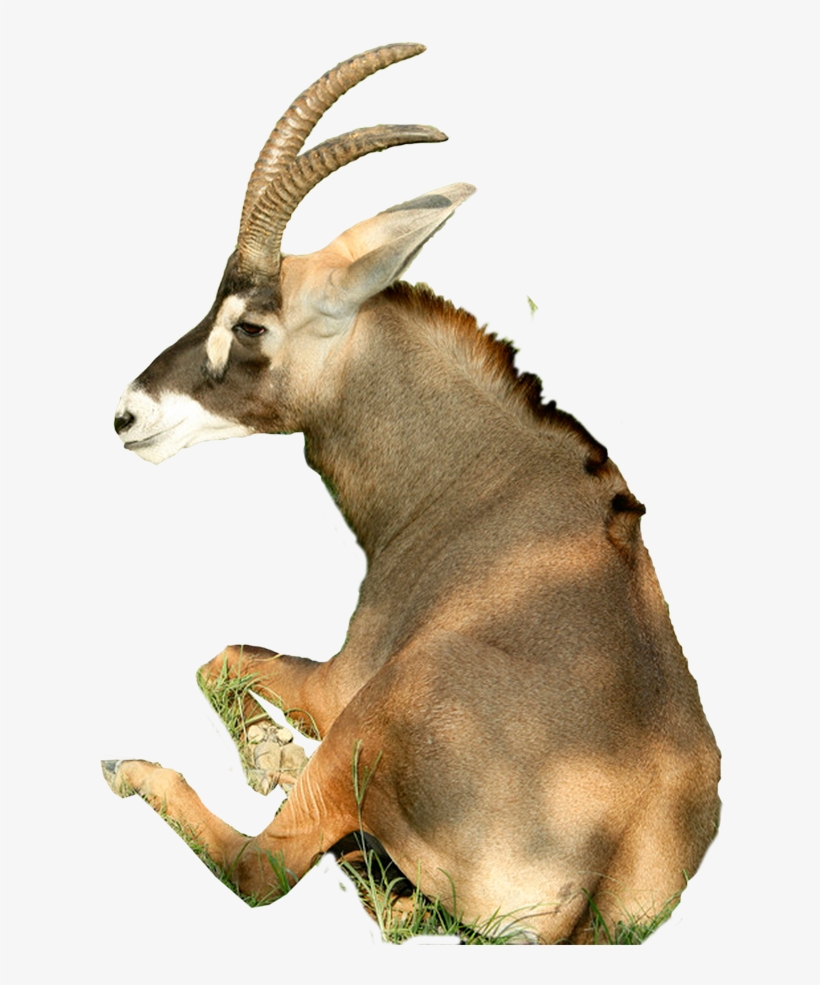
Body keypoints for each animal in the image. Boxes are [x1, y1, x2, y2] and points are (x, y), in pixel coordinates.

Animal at [103, 42, 720, 944]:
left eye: (251, 323)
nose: (127, 414)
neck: (482, 475)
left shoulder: (339, 680)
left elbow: (220, 654)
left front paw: (270, 753)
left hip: (378, 708)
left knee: (261, 867)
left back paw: (138, 768)